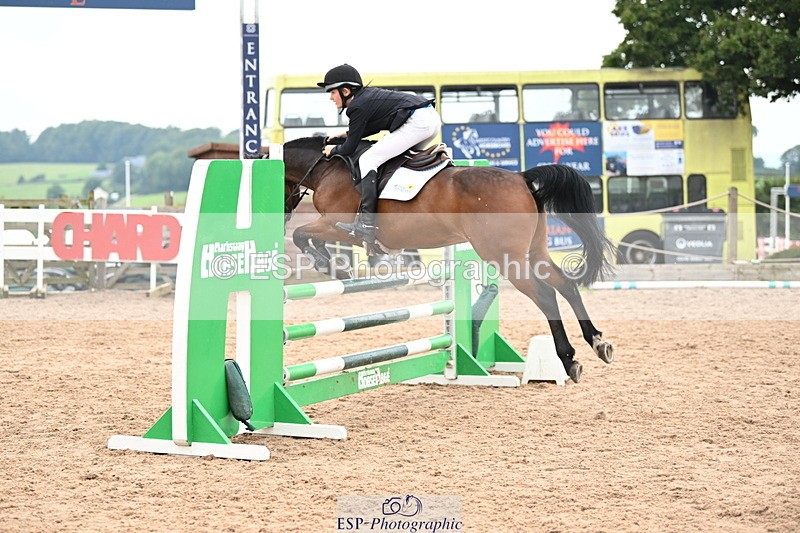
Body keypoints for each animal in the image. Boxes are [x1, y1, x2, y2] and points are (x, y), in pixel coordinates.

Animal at [273, 135, 617, 383]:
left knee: (545, 294)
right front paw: (332, 263)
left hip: (505, 257)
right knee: (566, 285)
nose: (284, 213)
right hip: (534, 252)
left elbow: (302, 235)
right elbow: (309, 237)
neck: (327, 169)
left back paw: (569, 359)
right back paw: (598, 342)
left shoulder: (338, 224)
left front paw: (330, 266)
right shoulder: (333, 227)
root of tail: (521, 177)